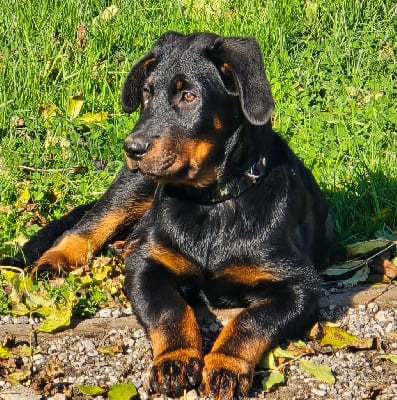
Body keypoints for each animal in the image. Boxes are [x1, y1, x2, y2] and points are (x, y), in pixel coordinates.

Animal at [6, 32, 330, 398]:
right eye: (147, 93)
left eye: (188, 95)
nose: (132, 148)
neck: (212, 202)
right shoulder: (147, 267)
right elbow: (169, 311)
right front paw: (174, 360)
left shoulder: (300, 284)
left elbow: (251, 321)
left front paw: (225, 366)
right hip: (135, 184)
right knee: (88, 224)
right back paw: (53, 260)